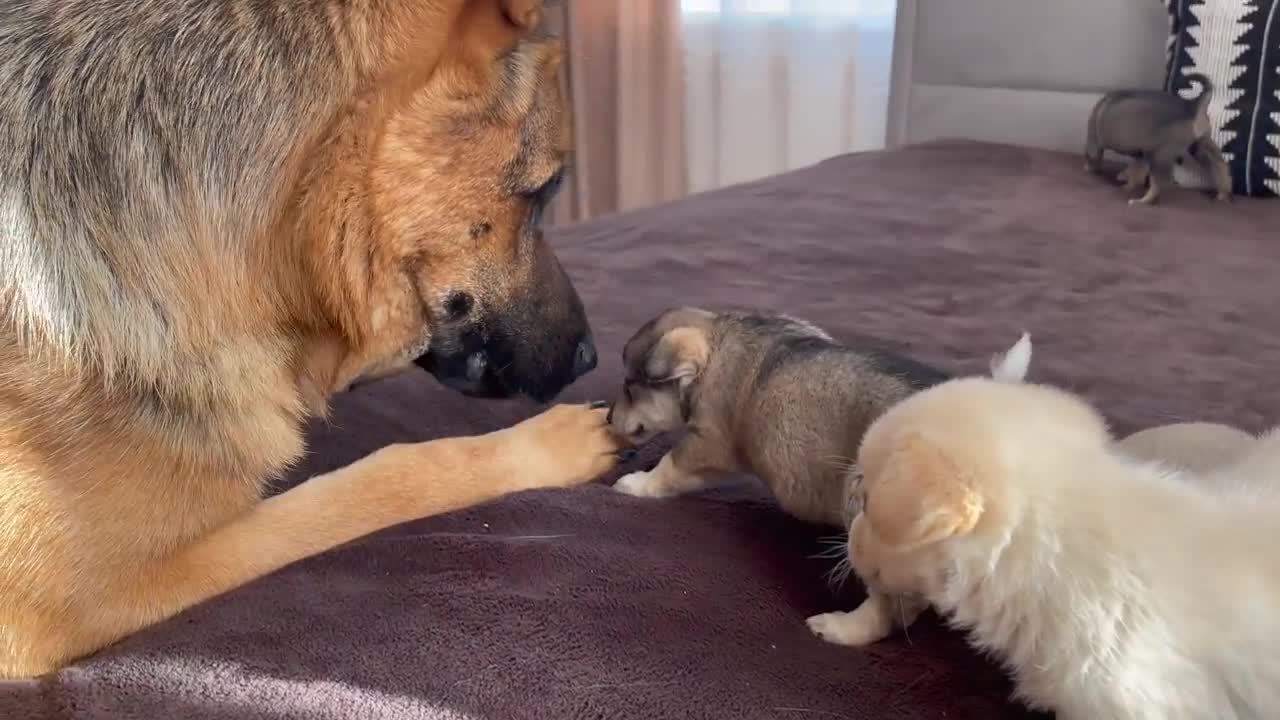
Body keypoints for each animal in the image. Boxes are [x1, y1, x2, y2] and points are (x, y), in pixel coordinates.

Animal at [604, 304, 1034, 640]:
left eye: (629, 387)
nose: (607, 419)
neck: (718, 342)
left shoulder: (707, 444)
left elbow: (669, 466)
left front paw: (637, 484)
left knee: (893, 609)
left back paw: (840, 629)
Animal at [1080, 72, 1228, 204]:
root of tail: (1191, 106)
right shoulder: (1142, 154)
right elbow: (1136, 174)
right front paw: (1127, 181)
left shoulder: (1095, 143)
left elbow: (1095, 158)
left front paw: (1091, 168)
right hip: (1200, 146)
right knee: (1221, 166)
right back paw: (1222, 193)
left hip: (1160, 157)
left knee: (1158, 187)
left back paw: (1141, 201)